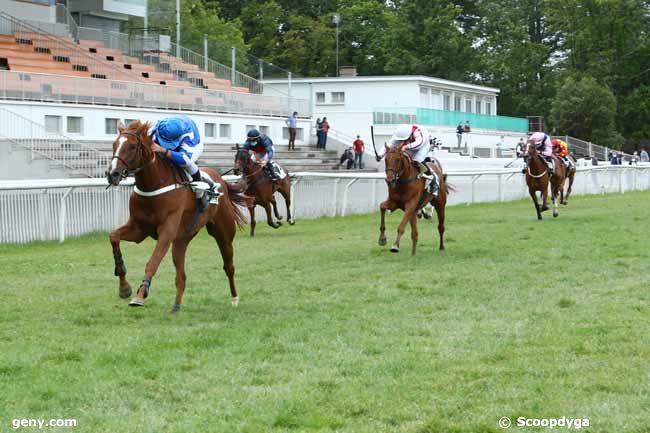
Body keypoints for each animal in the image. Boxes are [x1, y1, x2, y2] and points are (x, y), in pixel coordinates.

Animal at [105, 120, 249, 312]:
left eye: (133, 146)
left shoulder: (166, 232)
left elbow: (152, 262)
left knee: (229, 266)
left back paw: (234, 298)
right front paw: (124, 288)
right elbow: (113, 237)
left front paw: (140, 295)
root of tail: (222, 181)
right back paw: (176, 307)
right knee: (181, 276)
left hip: (223, 234)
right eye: (114, 144)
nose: (112, 174)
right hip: (181, 240)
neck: (153, 185)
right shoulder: (139, 230)